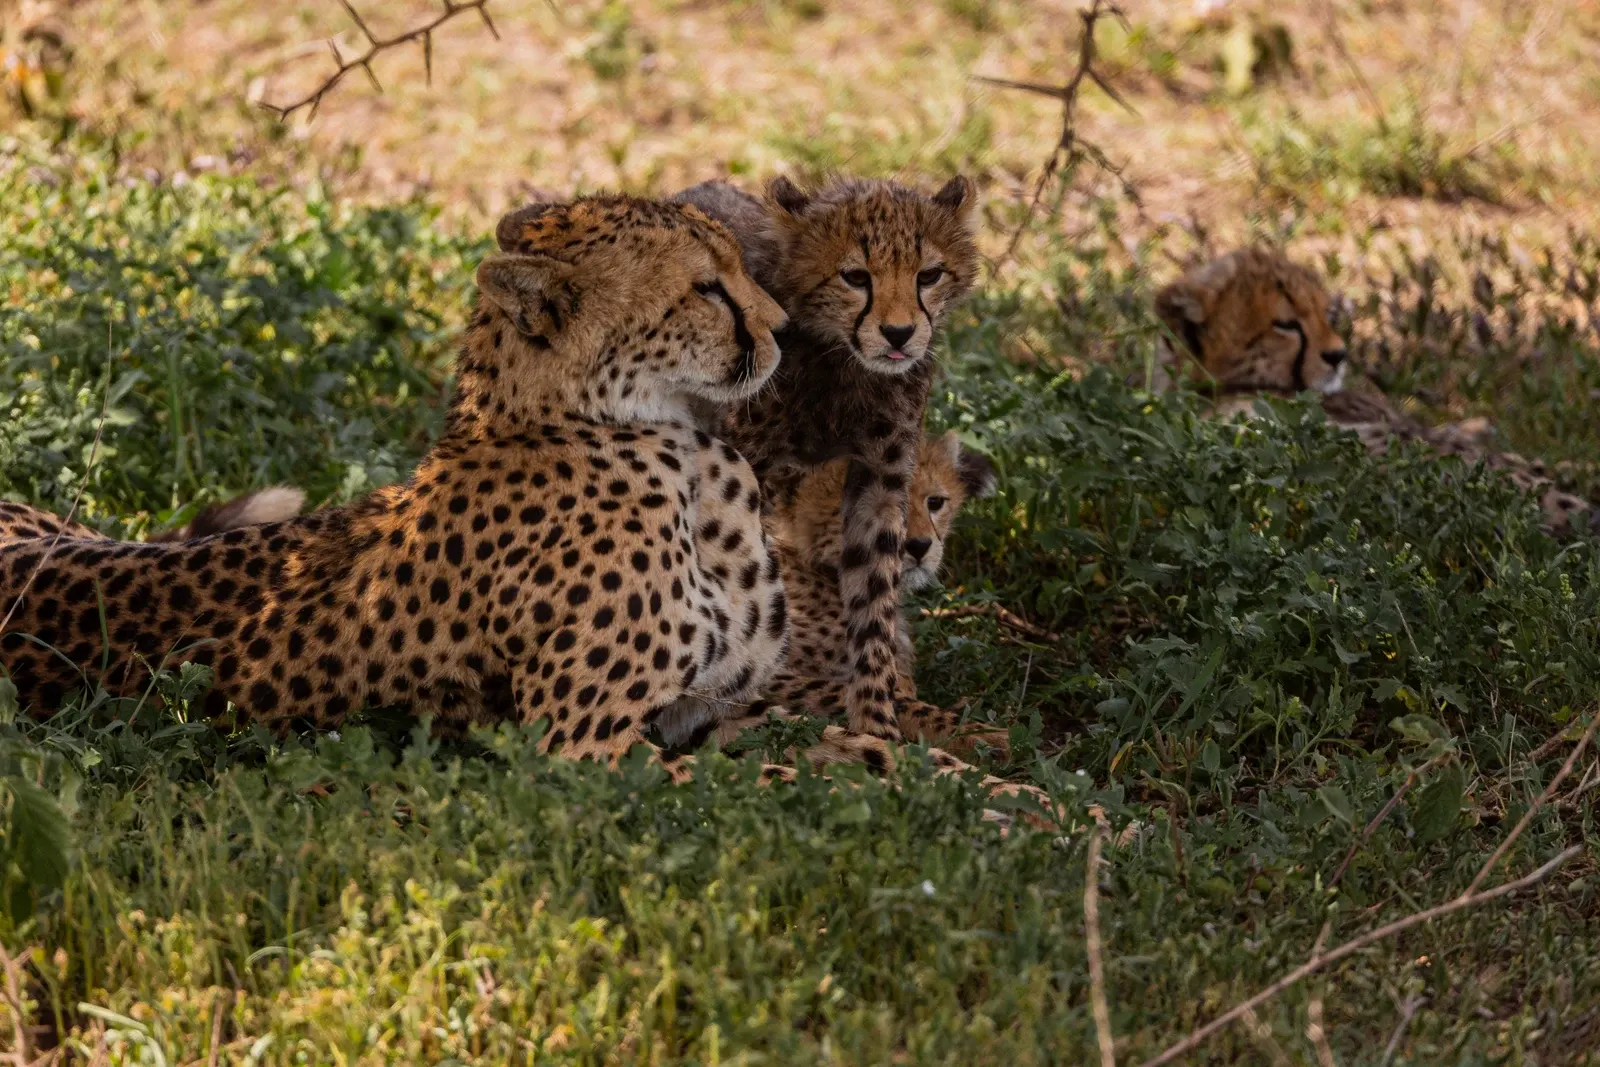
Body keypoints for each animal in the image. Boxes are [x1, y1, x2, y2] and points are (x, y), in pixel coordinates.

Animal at [671, 173, 981, 745]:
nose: (900, 334)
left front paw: (878, 726)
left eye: (929, 275)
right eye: (855, 277)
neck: (842, 364)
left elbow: (874, 612)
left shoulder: (880, 478)